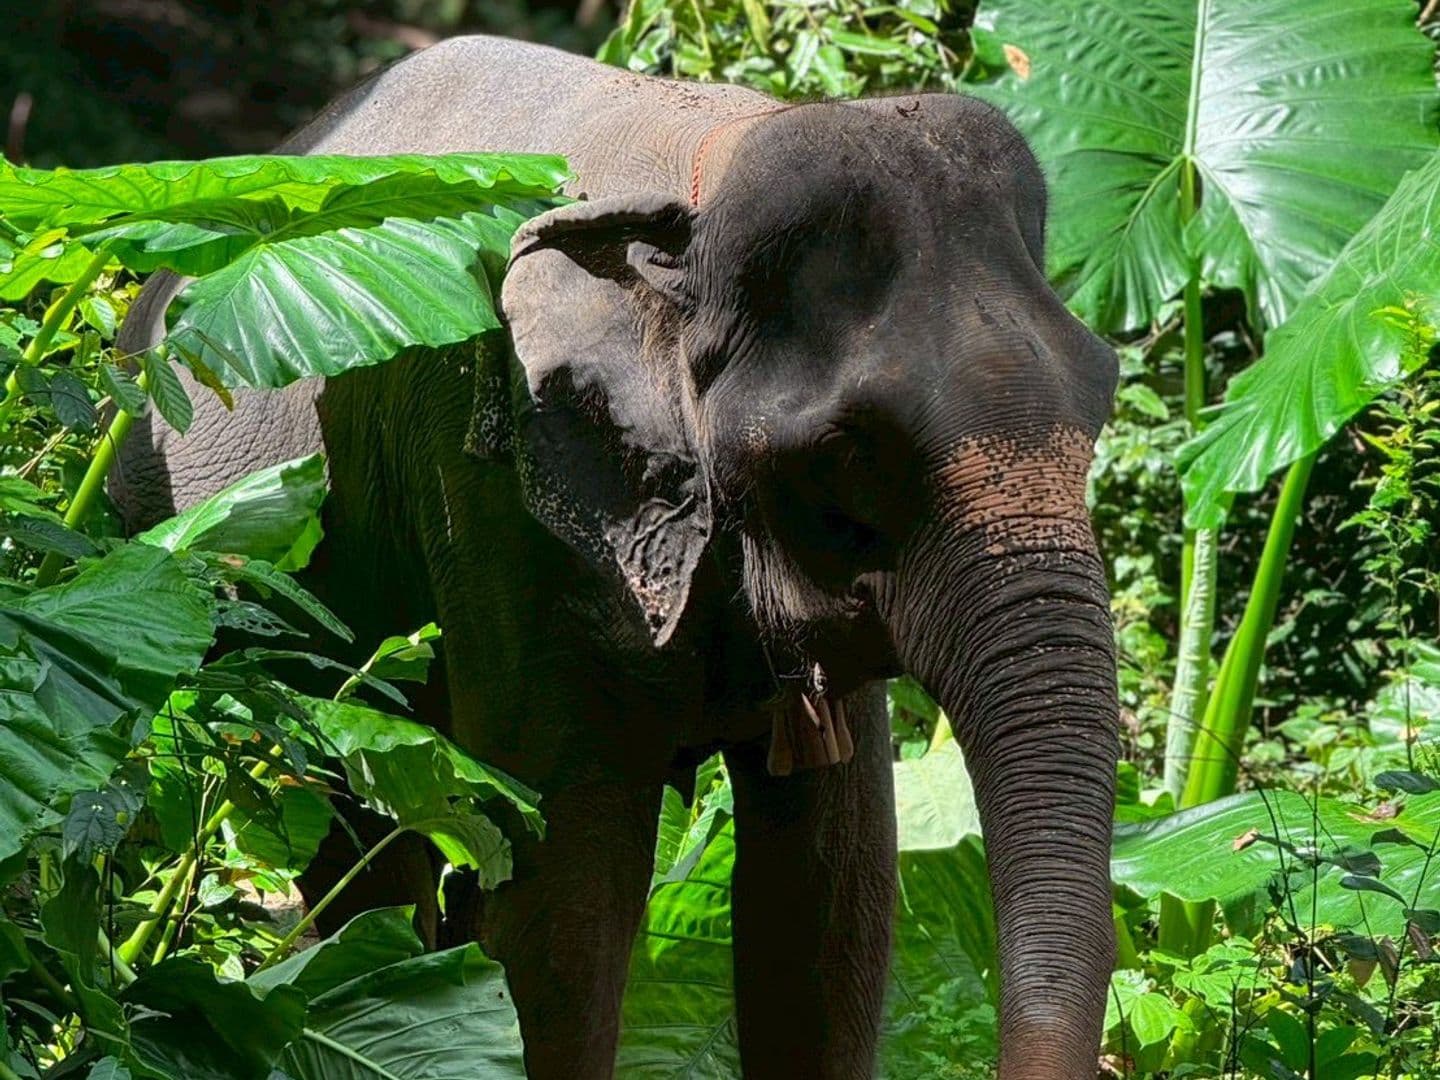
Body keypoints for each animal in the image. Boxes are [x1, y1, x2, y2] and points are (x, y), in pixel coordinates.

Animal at [111, 34, 1120, 1080]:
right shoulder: (504, 499)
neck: (705, 169)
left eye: (1104, 398)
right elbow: (561, 902)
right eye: (845, 453)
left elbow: (832, 901)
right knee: (362, 836)